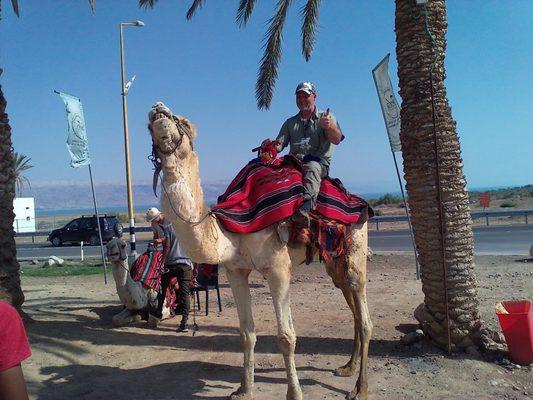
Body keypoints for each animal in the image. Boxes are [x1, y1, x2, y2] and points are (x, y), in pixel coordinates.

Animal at [145, 102, 370, 400]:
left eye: (184, 121)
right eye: (149, 126)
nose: (158, 108)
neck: (227, 231)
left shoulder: (278, 269)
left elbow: (286, 337)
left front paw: (294, 394)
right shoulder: (235, 271)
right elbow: (246, 334)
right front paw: (243, 389)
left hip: (357, 243)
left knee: (363, 314)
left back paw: (360, 388)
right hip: (334, 259)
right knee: (352, 306)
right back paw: (347, 367)